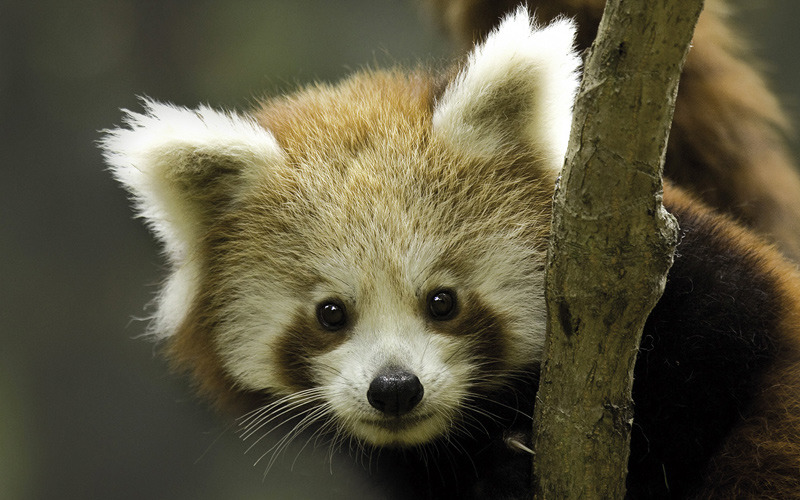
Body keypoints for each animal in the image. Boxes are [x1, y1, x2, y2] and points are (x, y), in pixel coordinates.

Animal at [103, 4, 800, 500]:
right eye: (331, 313)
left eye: (443, 301)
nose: (394, 389)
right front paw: (496, 479)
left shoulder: (702, 282)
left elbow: (715, 361)